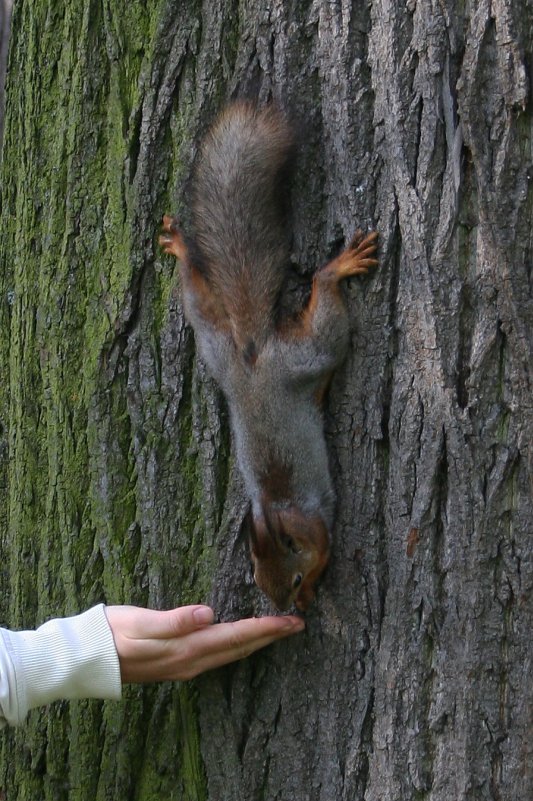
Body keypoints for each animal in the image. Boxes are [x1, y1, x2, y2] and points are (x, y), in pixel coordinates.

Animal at [159, 101, 378, 612]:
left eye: (294, 579)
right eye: (259, 580)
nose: (289, 606)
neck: (280, 512)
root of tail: (252, 356)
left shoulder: (315, 527)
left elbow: (323, 548)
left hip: (304, 353)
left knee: (323, 304)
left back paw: (337, 267)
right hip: (215, 346)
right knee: (199, 297)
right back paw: (182, 249)